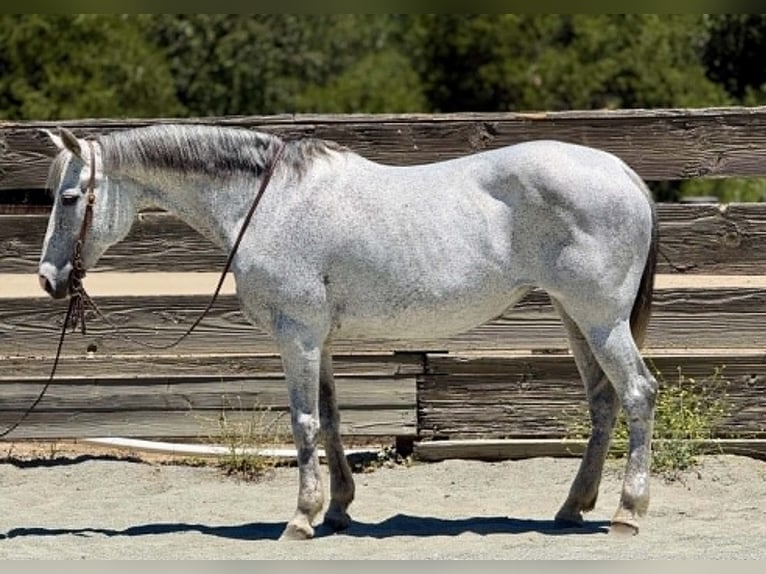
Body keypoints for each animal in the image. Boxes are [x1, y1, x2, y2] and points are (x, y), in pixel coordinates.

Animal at [38, 124, 658, 540]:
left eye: (69, 198)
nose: (49, 279)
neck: (270, 204)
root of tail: (624, 172)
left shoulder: (296, 336)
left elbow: (303, 422)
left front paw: (300, 518)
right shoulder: (320, 339)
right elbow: (333, 419)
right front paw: (336, 508)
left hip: (600, 319)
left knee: (637, 394)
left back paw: (627, 513)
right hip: (576, 318)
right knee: (603, 402)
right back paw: (573, 507)